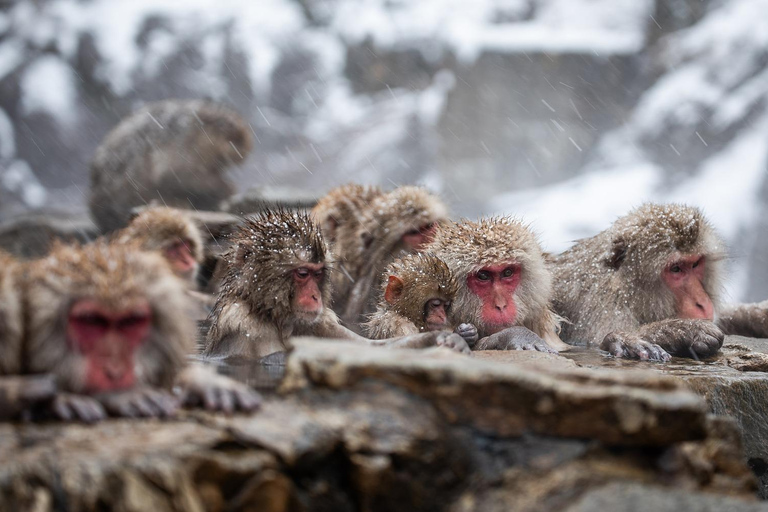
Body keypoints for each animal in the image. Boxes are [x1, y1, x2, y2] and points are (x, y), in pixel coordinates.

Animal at [203, 209, 470, 361]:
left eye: (319, 273)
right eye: (302, 273)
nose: (315, 297)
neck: (275, 317)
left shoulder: (318, 322)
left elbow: (369, 348)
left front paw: (446, 338)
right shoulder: (241, 326)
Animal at [550, 203, 730, 361]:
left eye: (695, 264)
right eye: (676, 269)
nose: (702, 303)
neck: (624, 288)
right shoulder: (599, 306)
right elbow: (594, 342)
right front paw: (684, 331)